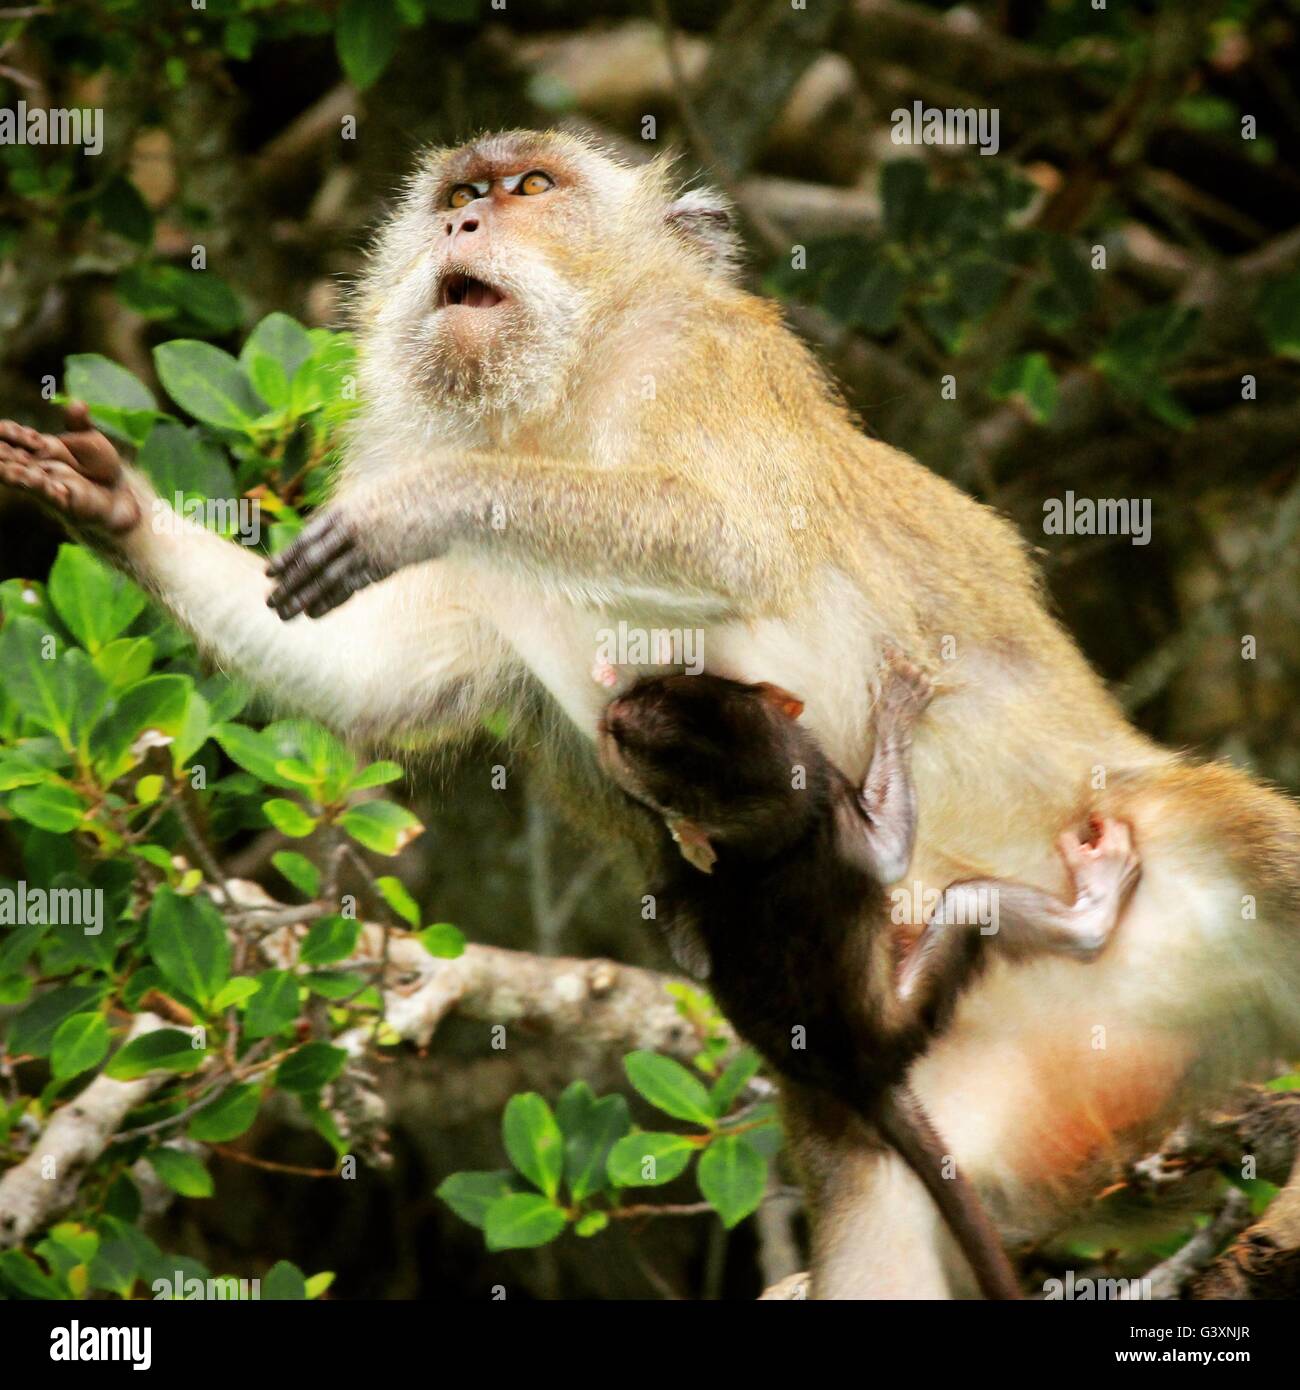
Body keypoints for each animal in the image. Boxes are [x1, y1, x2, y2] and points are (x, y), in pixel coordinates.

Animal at [600, 656, 1140, 1295]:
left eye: (666, 686)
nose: (614, 713)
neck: (769, 843)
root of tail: (855, 1075)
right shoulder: (836, 814)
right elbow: (890, 857)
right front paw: (896, 713)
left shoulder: (705, 883)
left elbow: (688, 943)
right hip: (904, 1019)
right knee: (973, 904)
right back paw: (1093, 915)